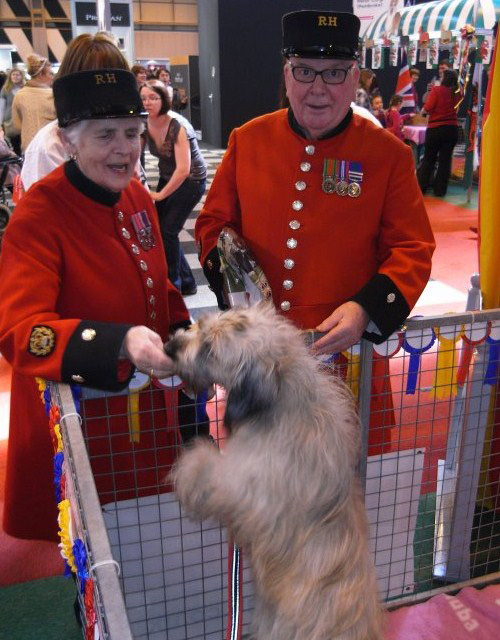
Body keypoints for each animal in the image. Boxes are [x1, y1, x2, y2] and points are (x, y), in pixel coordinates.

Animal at [166, 304, 380, 640]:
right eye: (199, 324)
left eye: (210, 349)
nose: (170, 347)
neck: (281, 398)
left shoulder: (246, 483)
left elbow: (207, 472)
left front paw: (191, 464)